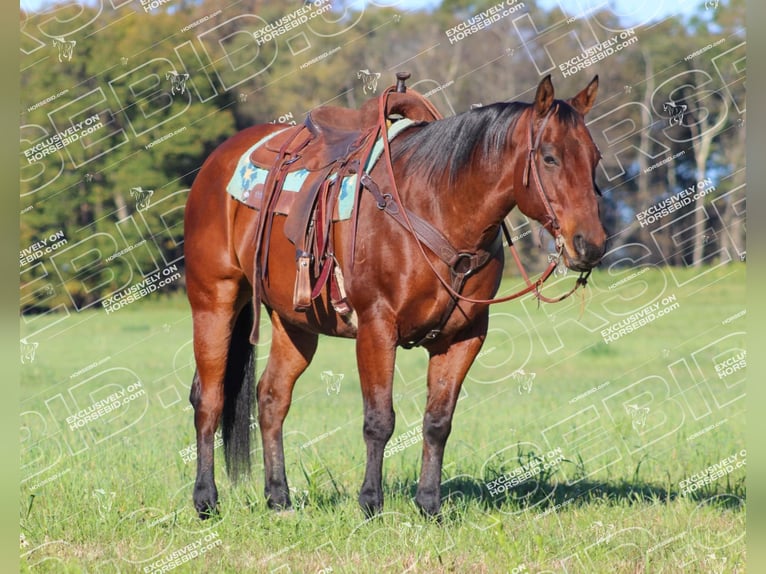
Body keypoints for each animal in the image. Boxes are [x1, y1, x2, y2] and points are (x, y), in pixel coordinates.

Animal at [184, 73, 608, 520]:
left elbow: (438, 421)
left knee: (271, 398)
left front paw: (429, 505)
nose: (591, 245)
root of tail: (218, 160)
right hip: (214, 300)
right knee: (209, 399)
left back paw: (279, 498)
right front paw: (371, 503)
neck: (435, 205)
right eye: (549, 158)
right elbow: (379, 420)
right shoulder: (376, 327)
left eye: (594, 157)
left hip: (295, 323)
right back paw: (206, 499)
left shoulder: (465, 337)